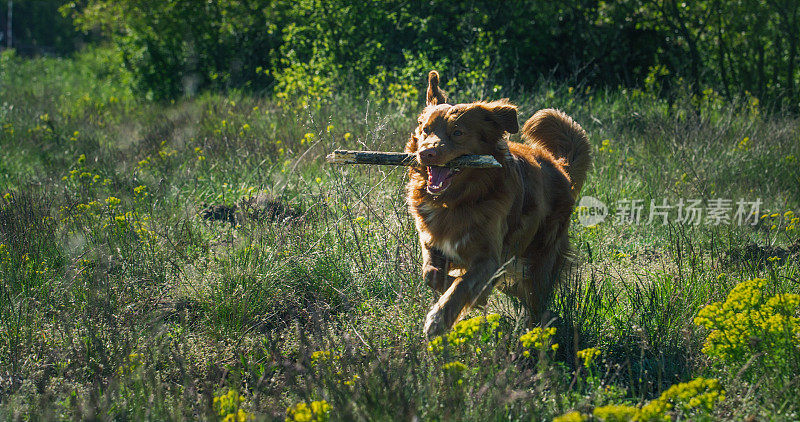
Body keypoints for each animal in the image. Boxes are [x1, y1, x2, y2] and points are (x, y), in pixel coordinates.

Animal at [410, 71, 592, 338]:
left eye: (457, 132)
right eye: (425, 130)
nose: (425, 153)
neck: (458, 200)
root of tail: (560, 167)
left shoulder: (489, 257)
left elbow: (462, 285)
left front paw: (439, 317)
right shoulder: (432, 240)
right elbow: (431, 274)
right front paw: (460, 290)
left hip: (540, 261)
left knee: (535, 302)